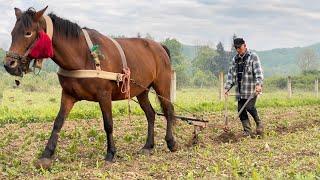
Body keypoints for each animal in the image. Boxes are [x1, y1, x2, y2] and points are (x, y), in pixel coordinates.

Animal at [3, 6, 178, 168]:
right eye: (12, 33)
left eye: (28, 33)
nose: (8, 64)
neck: (83, 55)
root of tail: (160, 46)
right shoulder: (68, 95)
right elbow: (58, 122)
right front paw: (46, 154)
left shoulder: (104, 95)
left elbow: (108, 123)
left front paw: (111, 153)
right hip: (141, 91)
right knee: (151, 114)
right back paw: (148, 146)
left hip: (162, 85)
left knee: (168, 110)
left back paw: (171, 142)